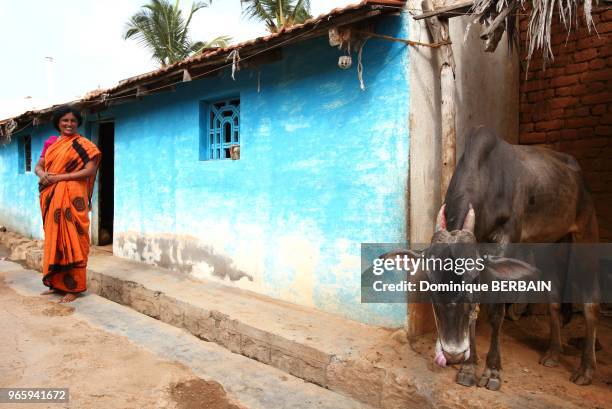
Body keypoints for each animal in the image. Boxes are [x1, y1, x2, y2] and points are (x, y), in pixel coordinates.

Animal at [416, 126, 596, 388]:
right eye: (431, 289)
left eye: (468, 287)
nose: (452, 354)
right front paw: (468, 368)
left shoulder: (506, 240)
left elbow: (495, 311)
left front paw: (492, 371)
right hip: (550, 242)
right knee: (553, 298)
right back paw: (553, 353)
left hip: (587, 229)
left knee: (590, 303)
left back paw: (586, 369)